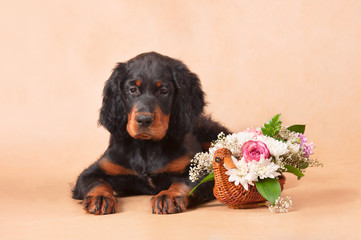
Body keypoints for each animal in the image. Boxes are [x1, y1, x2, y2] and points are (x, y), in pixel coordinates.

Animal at [71, 51, 229, 215]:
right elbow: (95, 182)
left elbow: (185, 182)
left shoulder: (200, 172)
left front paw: (169, 195)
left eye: (164, 91)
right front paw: (100, 197)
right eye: (132, 89)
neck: (146, 146)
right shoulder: (96, 170)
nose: (144, 120)